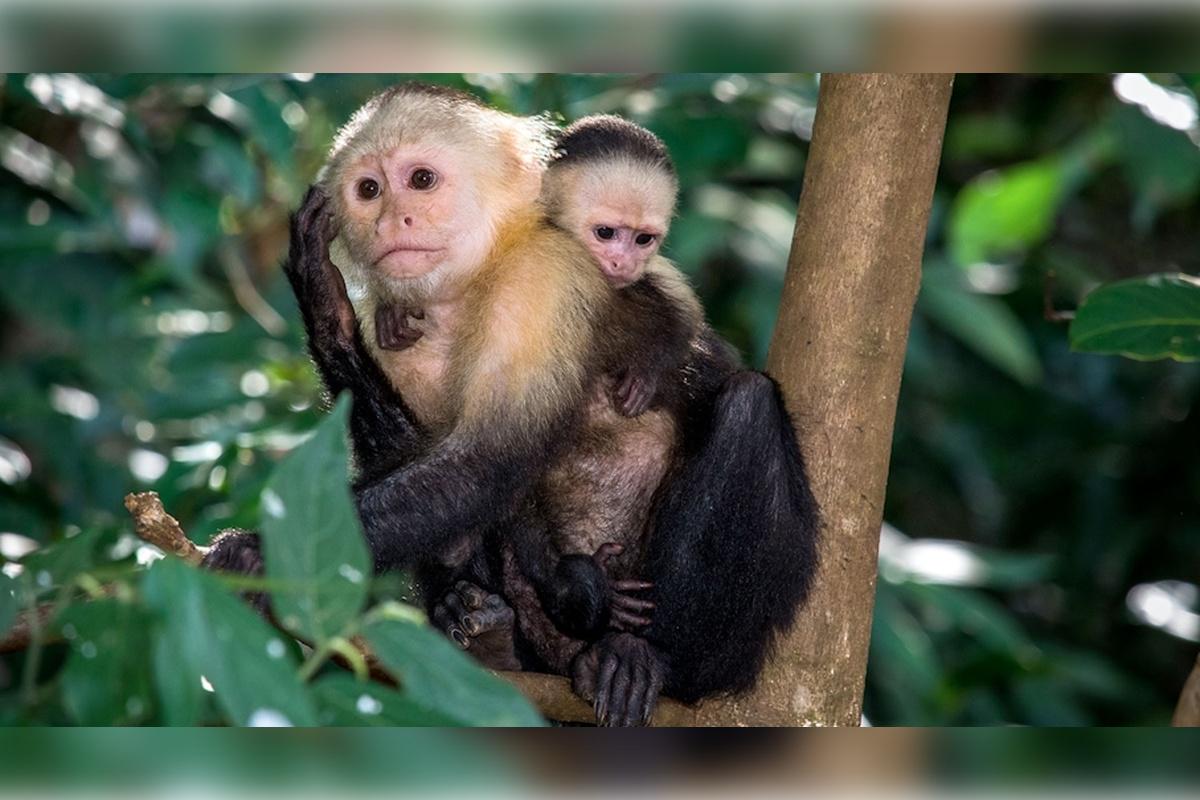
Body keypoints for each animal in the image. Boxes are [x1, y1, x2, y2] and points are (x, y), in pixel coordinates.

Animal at [205, 83, 820, 726]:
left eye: (420, 180)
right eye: (369, 190)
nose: (392, 218)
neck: (471, 283)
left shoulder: (544, 281)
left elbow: (490, 460)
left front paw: (257, 551)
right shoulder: (399, 332)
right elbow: (435, 475)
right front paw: (324, 300)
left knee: (749, 405)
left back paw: (645, 657)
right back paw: (492, 638)